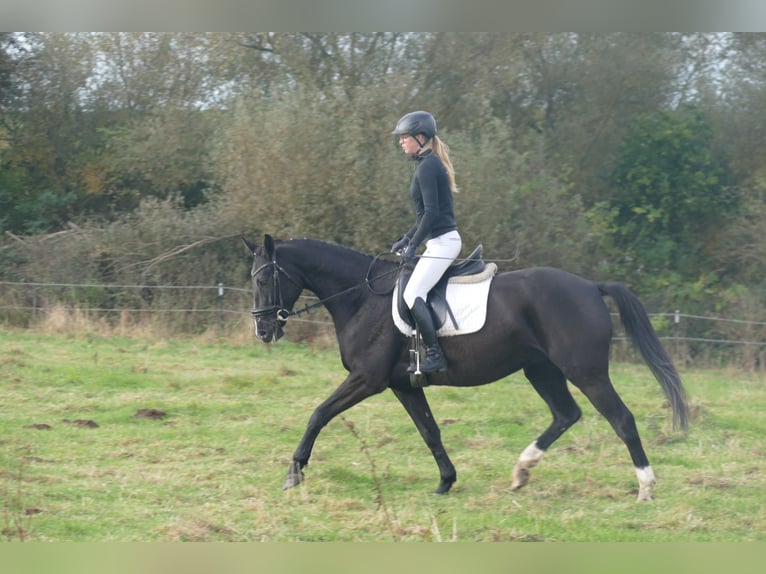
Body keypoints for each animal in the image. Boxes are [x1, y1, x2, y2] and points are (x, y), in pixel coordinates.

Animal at [243, 234, 688, 502]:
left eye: (264, 280)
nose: (263, 330)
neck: (362, 298)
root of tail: (591, 287)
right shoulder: (404, 385)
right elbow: (430, 431)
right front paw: (446, 481)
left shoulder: (366, 379)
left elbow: (319, 413)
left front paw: (294, 472)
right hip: (541, 370)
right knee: (566, 414)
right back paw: (521, 471)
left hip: (586, 372)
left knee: (621, 419)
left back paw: (645, 486)